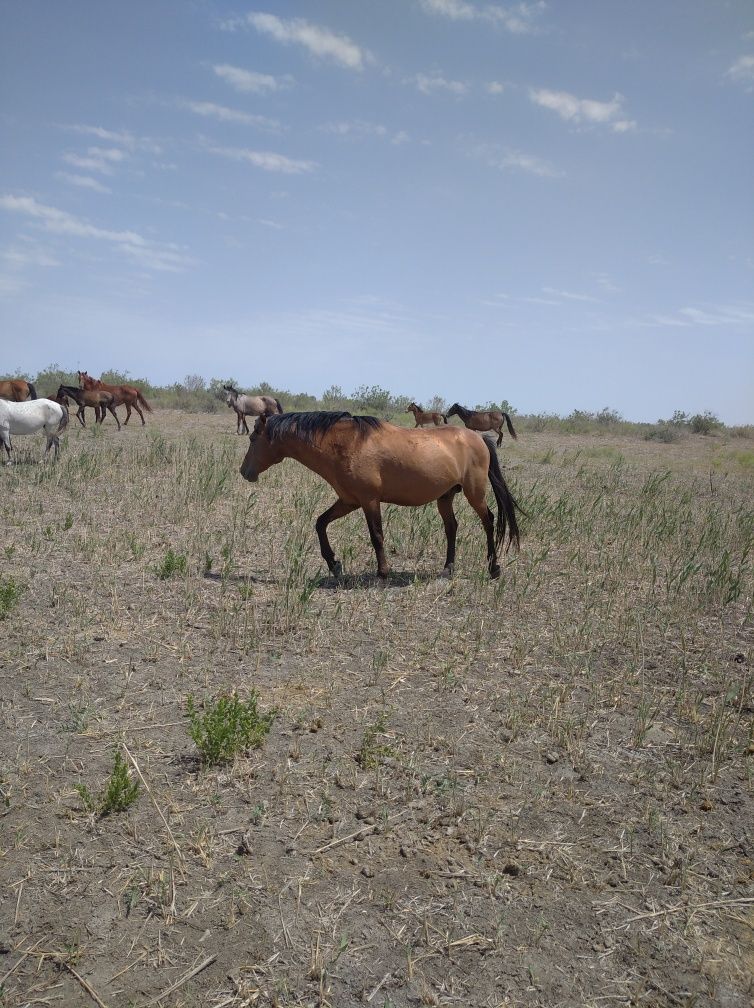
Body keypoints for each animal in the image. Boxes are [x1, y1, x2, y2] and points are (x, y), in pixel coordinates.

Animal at [239, 409, 520, 580]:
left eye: (253, 438)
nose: (244, 471)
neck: (346, 444)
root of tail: (479, 438)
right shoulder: (349, 501)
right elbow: (320, 523)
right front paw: (334, 564)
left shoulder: (369, 501)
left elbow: (376, 536)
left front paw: (383, 571)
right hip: (446, 496)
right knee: (451, 527)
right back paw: (448, 568)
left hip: (475, 493)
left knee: (488, 522)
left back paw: (494, 568)